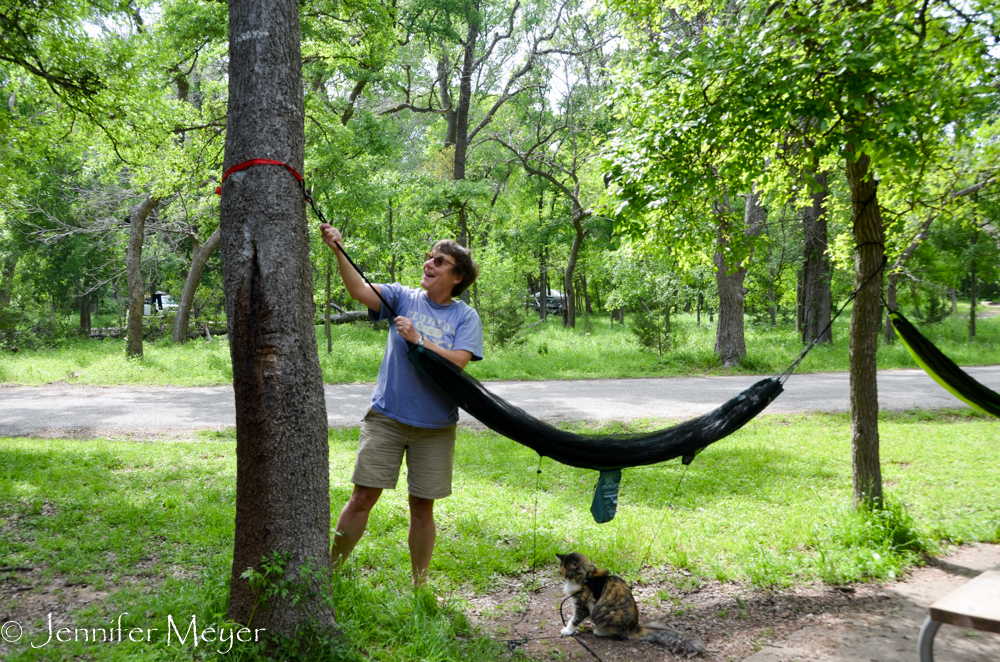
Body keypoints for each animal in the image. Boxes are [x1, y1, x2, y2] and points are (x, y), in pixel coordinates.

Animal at [556, 552, 704, 656]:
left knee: (621, 636)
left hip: (603, 612)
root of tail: (635, 627)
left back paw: (599, 631)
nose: (563, 579)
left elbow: (574, 620)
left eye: (568, 574)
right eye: (560, 573)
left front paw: (567, 630)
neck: (586, 578)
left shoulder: (582, 606)